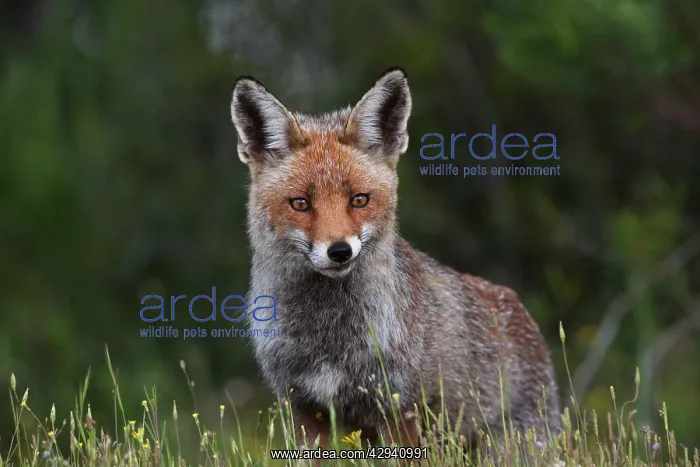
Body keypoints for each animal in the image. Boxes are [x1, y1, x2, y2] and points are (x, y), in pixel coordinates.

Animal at [229, 67, 561, 458]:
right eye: (300, 204)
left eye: (359, 199)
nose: (339, 251)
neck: (328, 338)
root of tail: (521, 310)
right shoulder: (305, 410)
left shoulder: (399, 408)